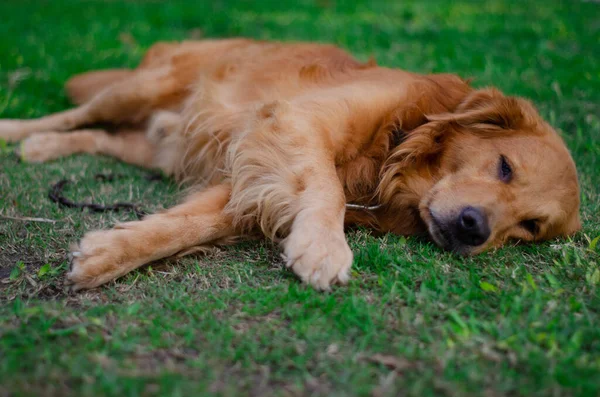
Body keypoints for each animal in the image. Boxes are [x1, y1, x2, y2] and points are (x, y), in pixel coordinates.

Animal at [1, 38, 580, 290]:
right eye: (504, 167)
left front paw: (106, 255)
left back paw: (45, 148)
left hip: (158, 145)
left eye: (529, 227)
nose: (473, 229)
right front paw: (324, 246)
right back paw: (19, 133)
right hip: (140, 89)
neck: (397, 148)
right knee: (77, 113)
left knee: (101, 135)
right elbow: (325, 185)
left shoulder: (249, 179)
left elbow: (184, 227)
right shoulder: (295, 120)